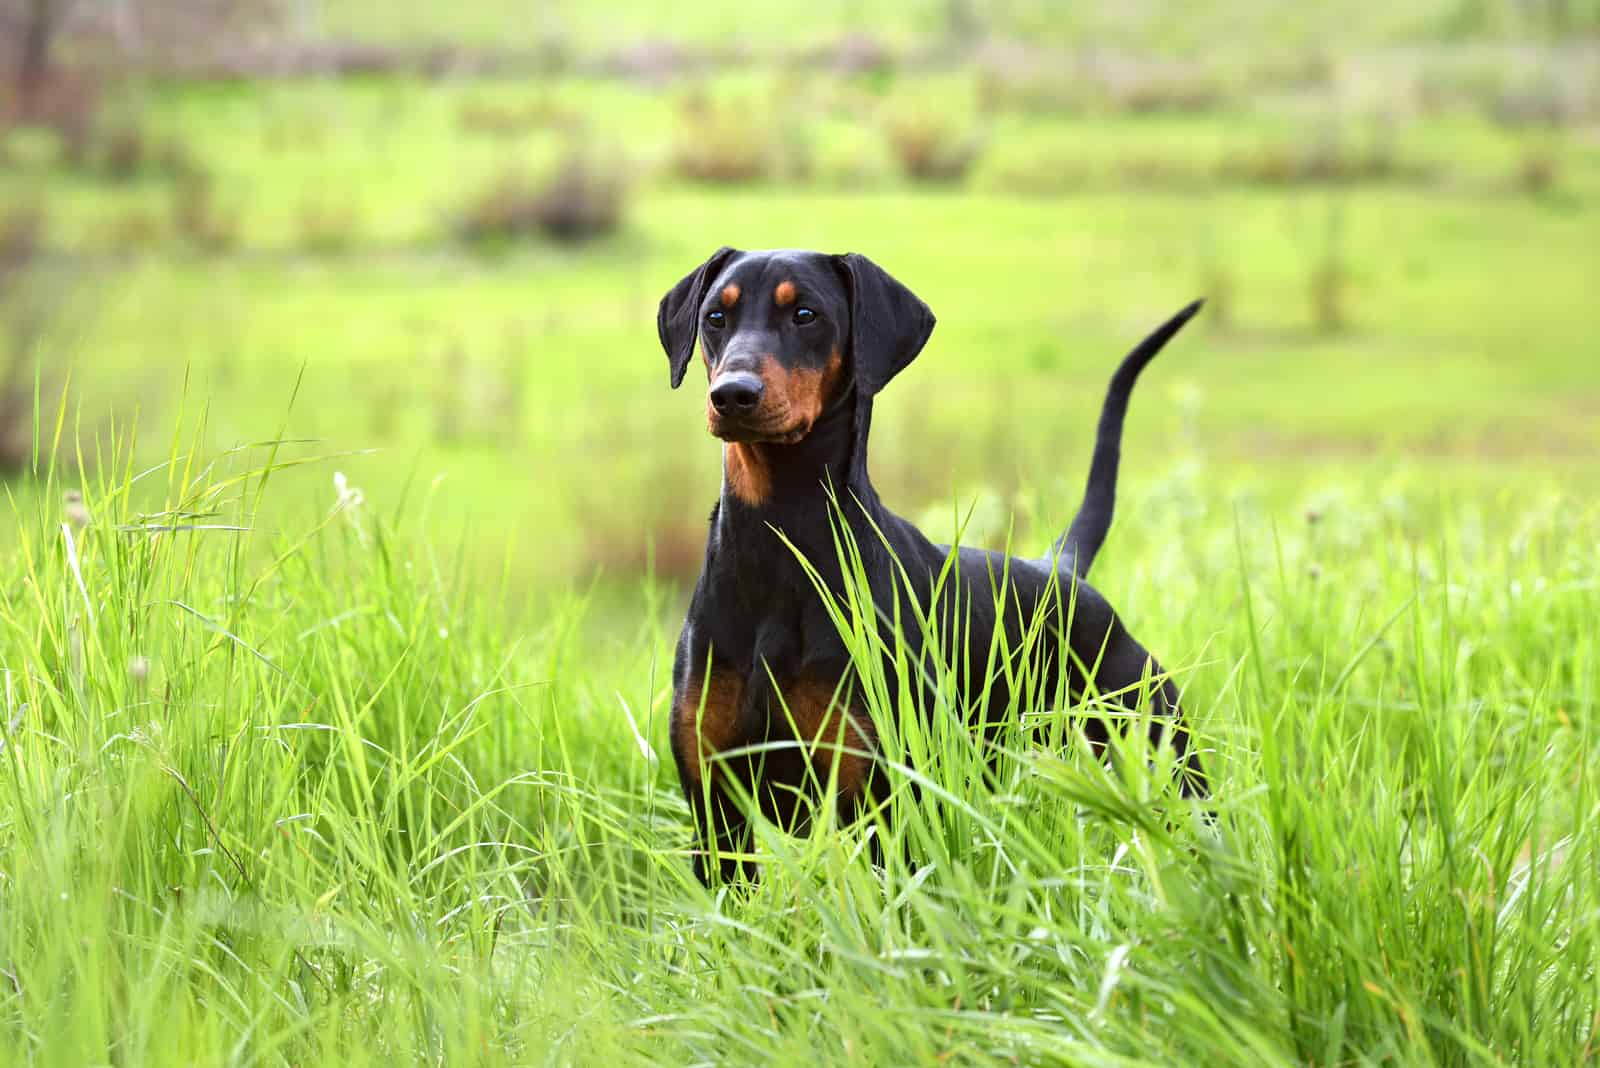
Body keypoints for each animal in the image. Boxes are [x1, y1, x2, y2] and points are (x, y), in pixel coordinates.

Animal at [656, 251, 1203, 882]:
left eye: (805, 314)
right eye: (716, 317)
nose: (733, 394)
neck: (778, 540)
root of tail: (1061, 570)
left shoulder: (876, 801)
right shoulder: (717, 813)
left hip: (1164, 750)